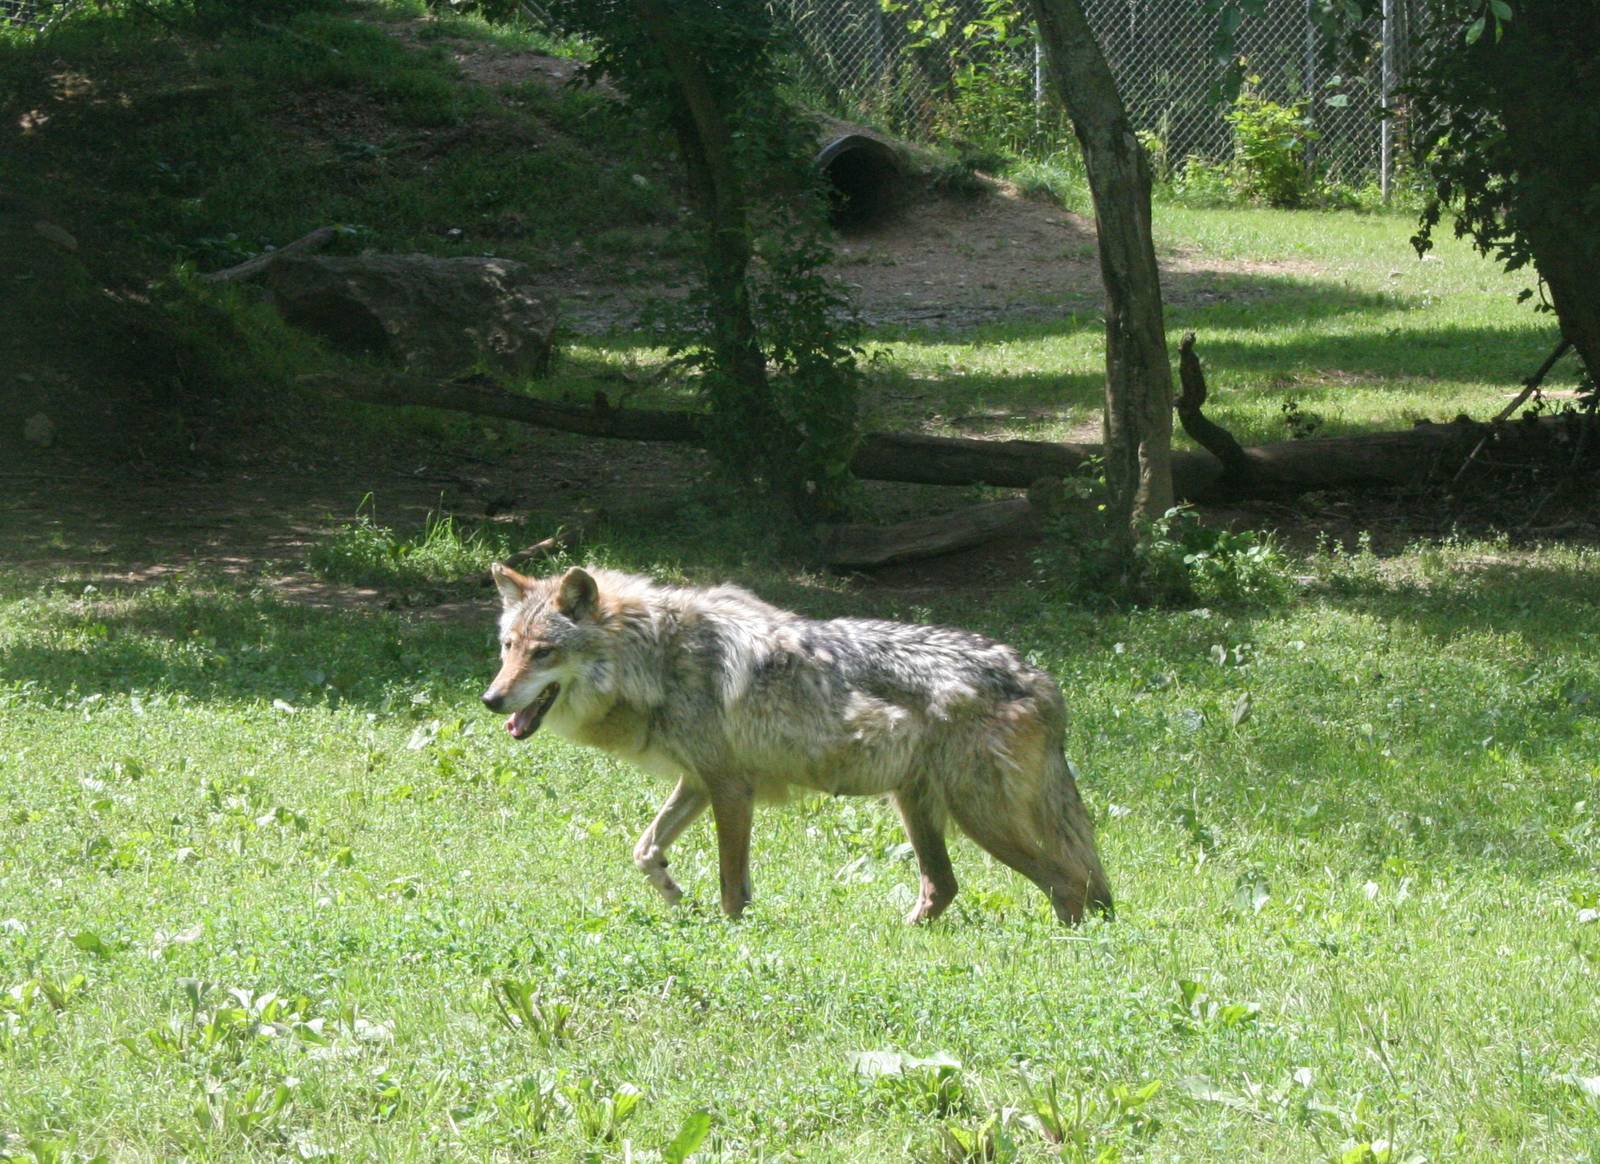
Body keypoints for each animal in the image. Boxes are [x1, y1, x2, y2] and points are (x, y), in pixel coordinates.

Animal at [481, 563, 1113, 925]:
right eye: (509, 647)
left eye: (543, 653)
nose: (491, 699)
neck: (657, 657)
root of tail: (1038, 678)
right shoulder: (699, 781)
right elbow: (644, 851)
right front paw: (676, 895)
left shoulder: (732, 789)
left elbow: (731, 886)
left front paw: (730, 934)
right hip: (918, 808)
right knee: (945, 887)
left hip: (980, 817)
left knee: (1069, 883)